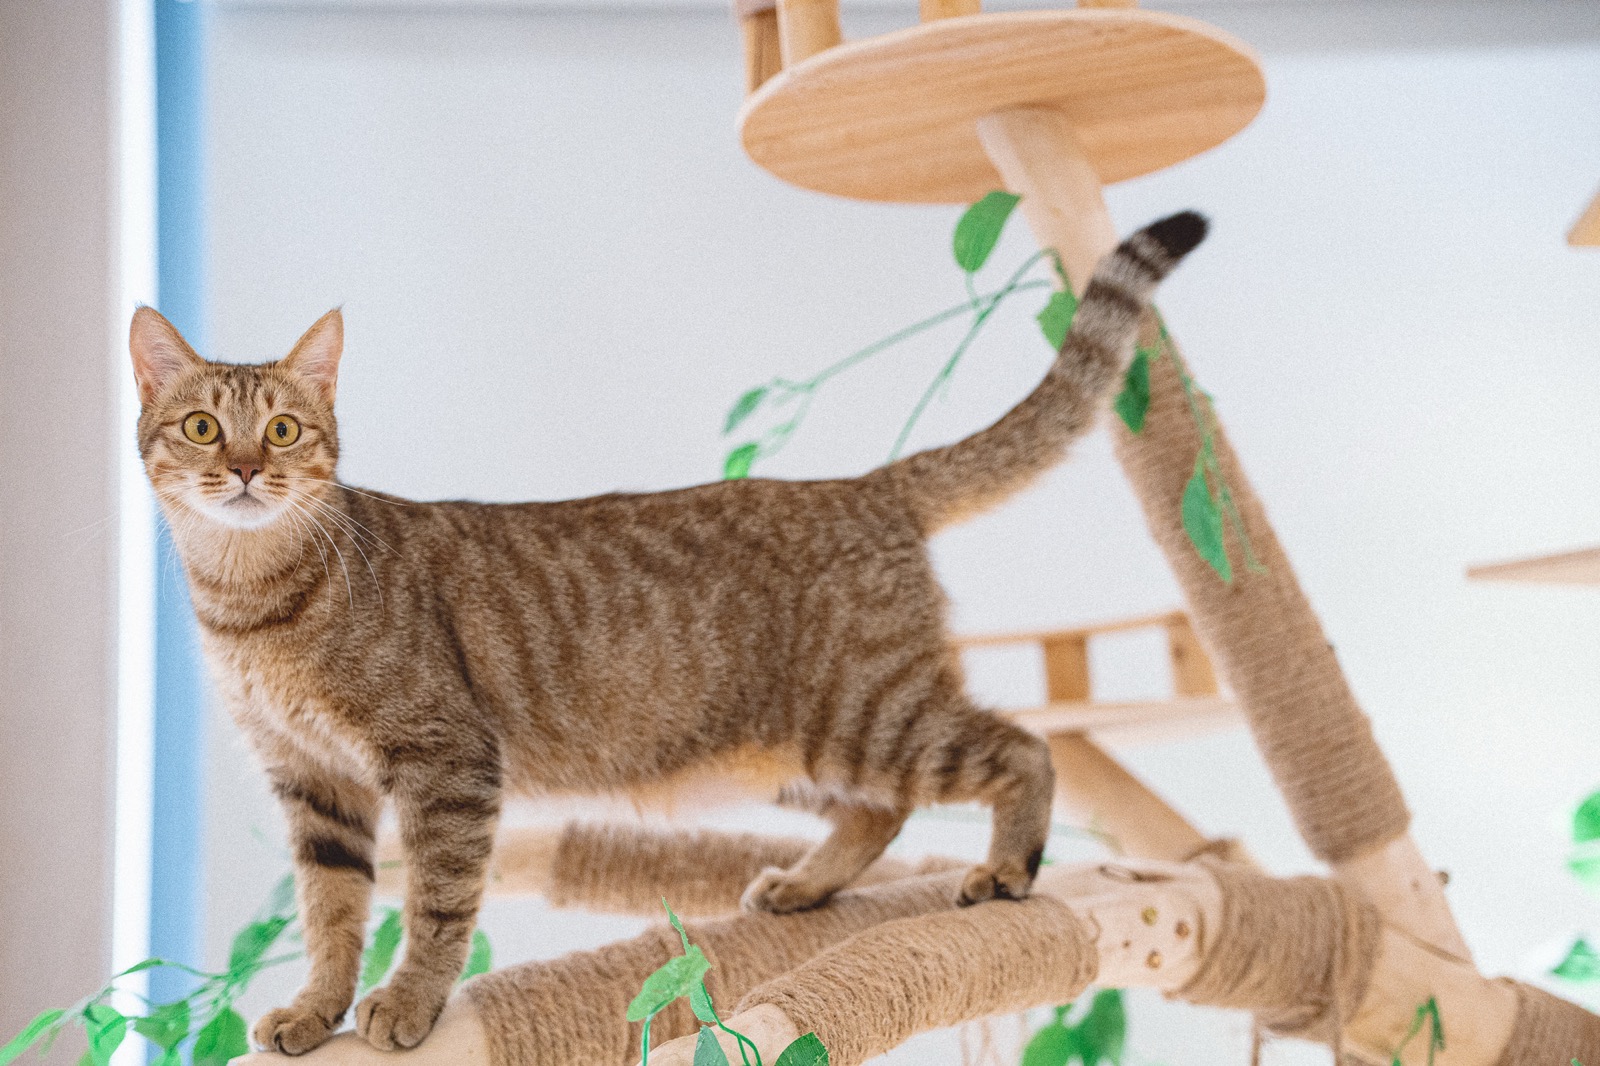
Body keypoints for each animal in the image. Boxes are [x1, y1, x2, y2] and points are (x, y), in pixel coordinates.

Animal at [128, 211, 1205, 1055]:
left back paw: (1009, 868)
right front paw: (316, 1010)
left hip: (869, 716)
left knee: (1019, 748)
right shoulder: (316, 784)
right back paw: (804, 887)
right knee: (883, 810)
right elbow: (332, 913)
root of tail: (866, 483)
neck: (253, 599)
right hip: (787, 747)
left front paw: (407, 1005)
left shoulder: (444, 764)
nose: (244, 471)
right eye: (200, 427)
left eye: (282, 431)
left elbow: (432, 904)